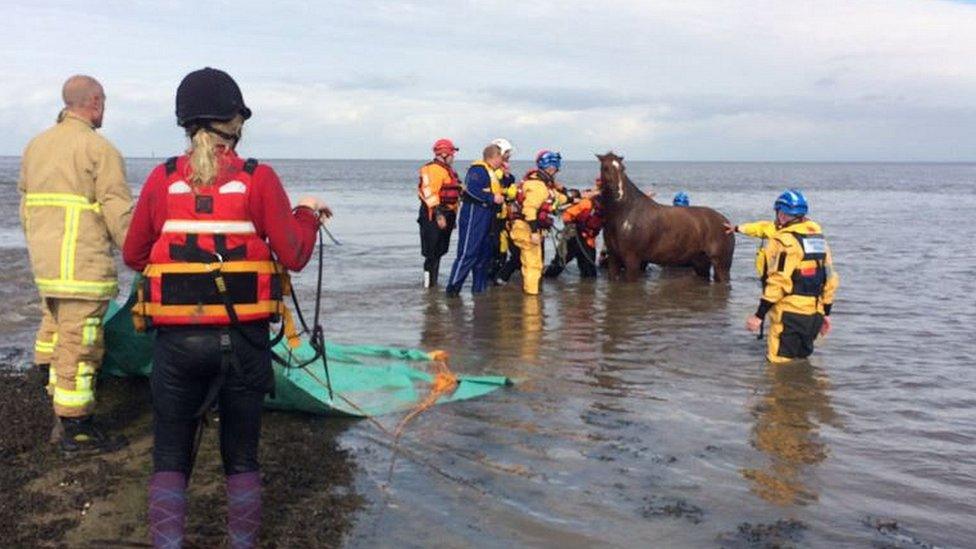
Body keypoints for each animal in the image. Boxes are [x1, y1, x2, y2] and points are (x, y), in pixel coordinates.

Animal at [596, 151, 732, 282]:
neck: (626, 212)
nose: (618, 193)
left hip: (721, 266)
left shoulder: (632, 260)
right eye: (605, 168)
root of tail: (726, 222)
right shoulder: (614, 259)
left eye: (623, 168)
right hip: (701, 264)